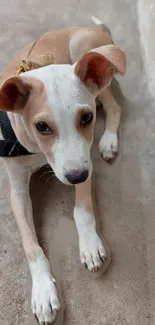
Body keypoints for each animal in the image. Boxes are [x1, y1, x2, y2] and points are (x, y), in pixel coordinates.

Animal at [0, 16, 126, 322]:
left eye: (87, 118)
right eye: (41, 126)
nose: (76, 177)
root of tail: (96, 29)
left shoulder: (84, 159)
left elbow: (82, 210)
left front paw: (90, 244)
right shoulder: (17, 191)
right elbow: (30, 245)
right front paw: (44, 292)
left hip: (86, 54)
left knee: (115, 107)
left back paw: (109, 141)